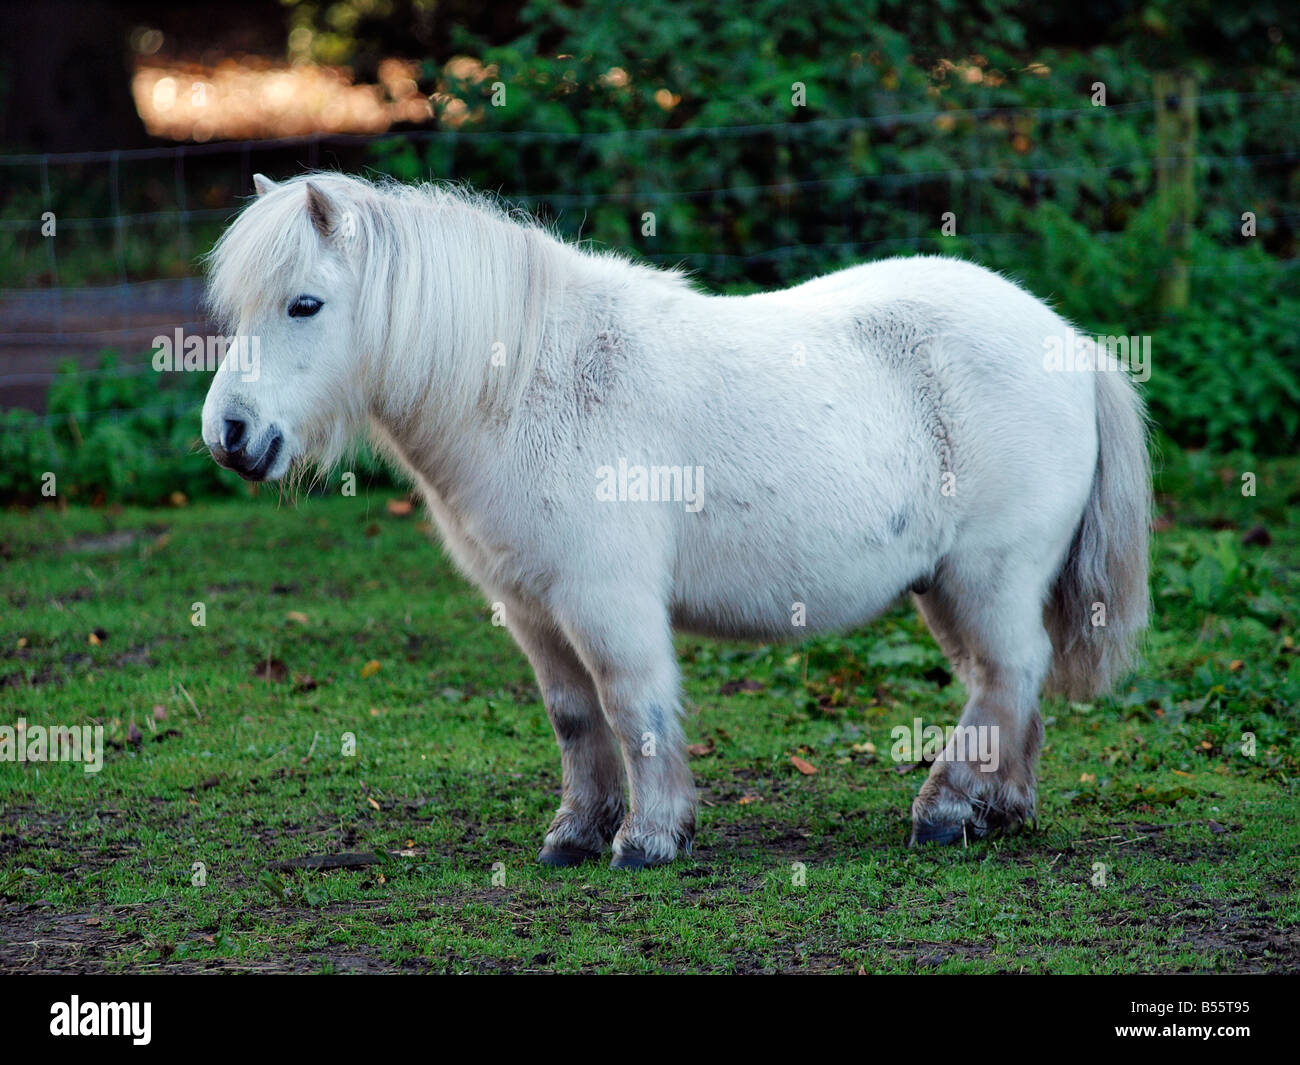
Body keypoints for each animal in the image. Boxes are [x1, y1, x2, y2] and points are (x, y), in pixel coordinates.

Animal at [201, 172, 1150, 868]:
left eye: (305, 304)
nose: (230, 435)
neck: (530, 384)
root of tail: (1070, 342)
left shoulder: (608, 602)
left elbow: (636, 709)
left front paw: (650, 838)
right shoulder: (533, 609)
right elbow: (575, 719)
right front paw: (576, 835)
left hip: (989, 576)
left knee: (1007, 675)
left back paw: (947, 811)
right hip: (951, 589)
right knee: (1006, 685)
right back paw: (1001, 810)